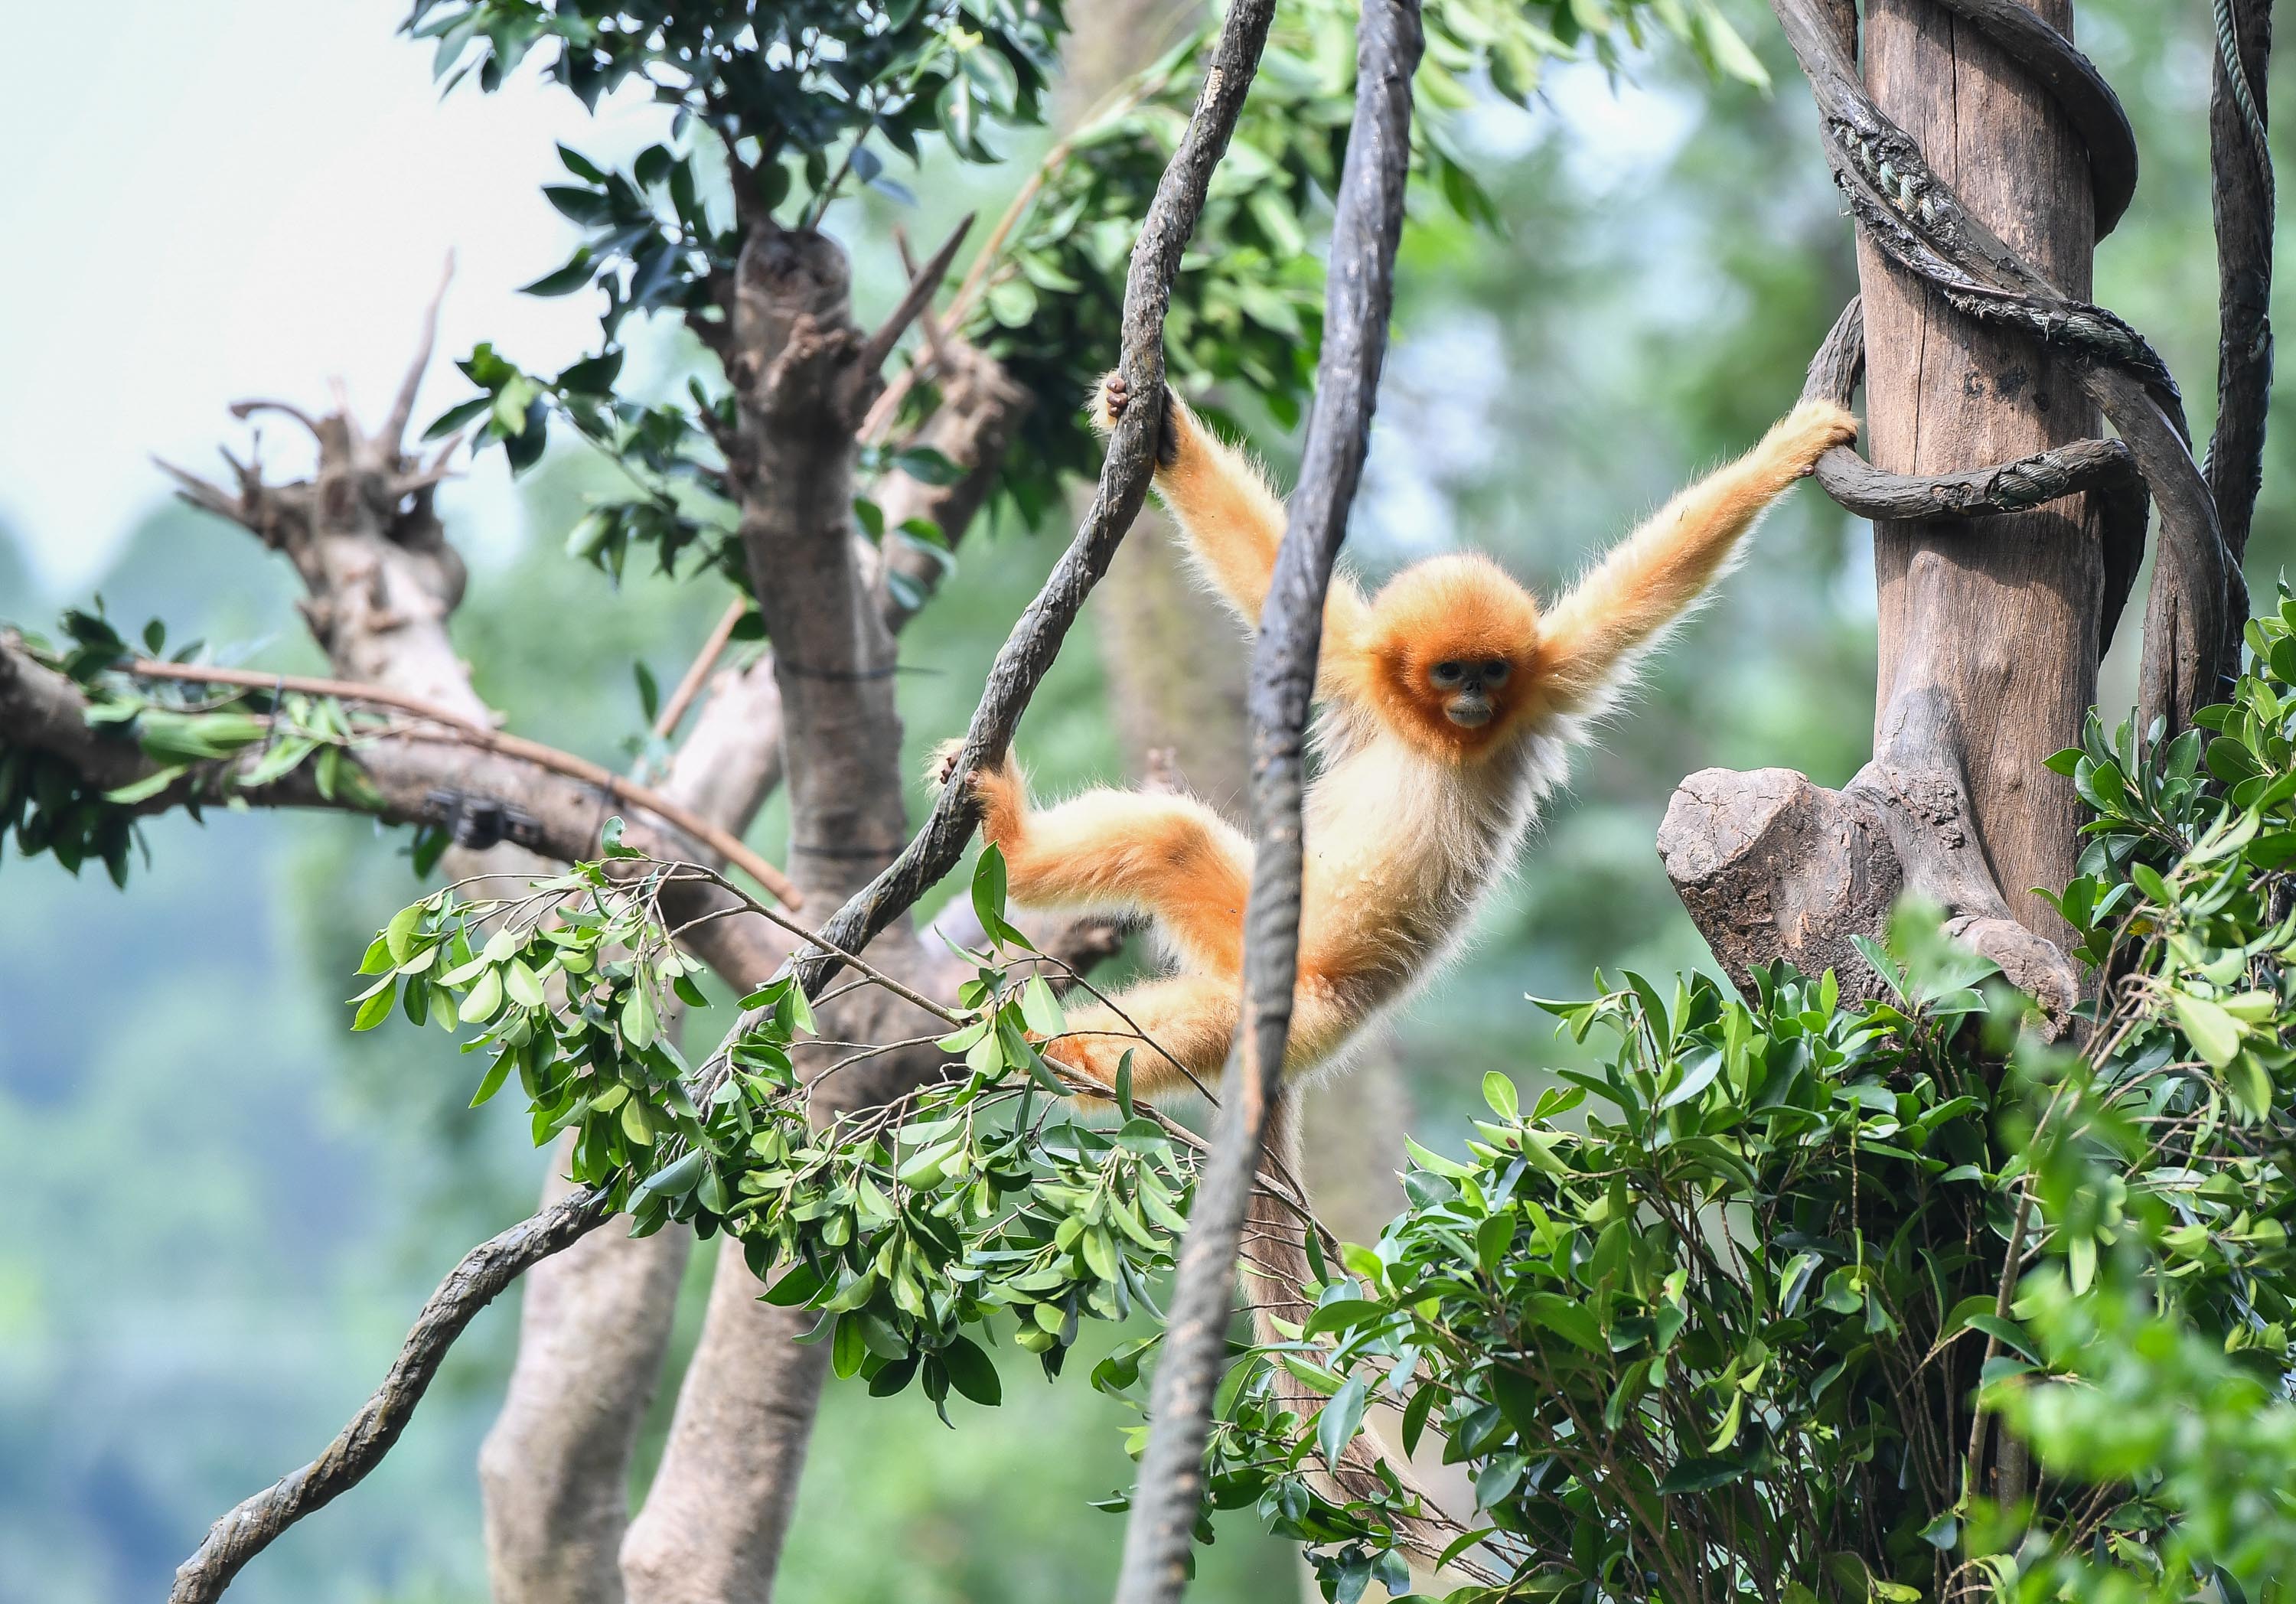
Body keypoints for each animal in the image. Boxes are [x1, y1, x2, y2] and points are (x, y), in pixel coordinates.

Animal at [960, 378, 1855, 1106]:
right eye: (1452, 669)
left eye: (1491, 670)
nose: (1473, 696)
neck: (1434, 733)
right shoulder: (1357, 670)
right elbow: (1266, 572)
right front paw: (1162, 428)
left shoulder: (1546, 682)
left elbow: (1642, 590)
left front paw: (1787, 450)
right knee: (1169, 840)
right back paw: (1020, 861)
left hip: (1307, 1004)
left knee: (1211, 987)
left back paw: (1069, 1051)